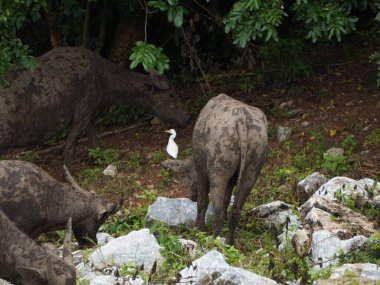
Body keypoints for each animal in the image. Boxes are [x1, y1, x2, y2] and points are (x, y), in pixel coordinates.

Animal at [0, 45, 190, 168]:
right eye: (171, 95)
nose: (187, 117)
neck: (106, 88)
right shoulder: (82, 113)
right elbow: (69, 148)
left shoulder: (90, 115)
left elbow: (95, 143)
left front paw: (102, 162)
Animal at [162, 92, 268, 242]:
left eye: (187, 176)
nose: (191, 197)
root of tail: (241, 121)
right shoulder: (232, 181)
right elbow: (226, 200)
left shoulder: (199, 173)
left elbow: (202, 202)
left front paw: (198, 228)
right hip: (253, 169)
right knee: (236, 209)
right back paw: (229, 241)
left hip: (218, 169)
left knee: (216, 206)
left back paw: (214, 240)